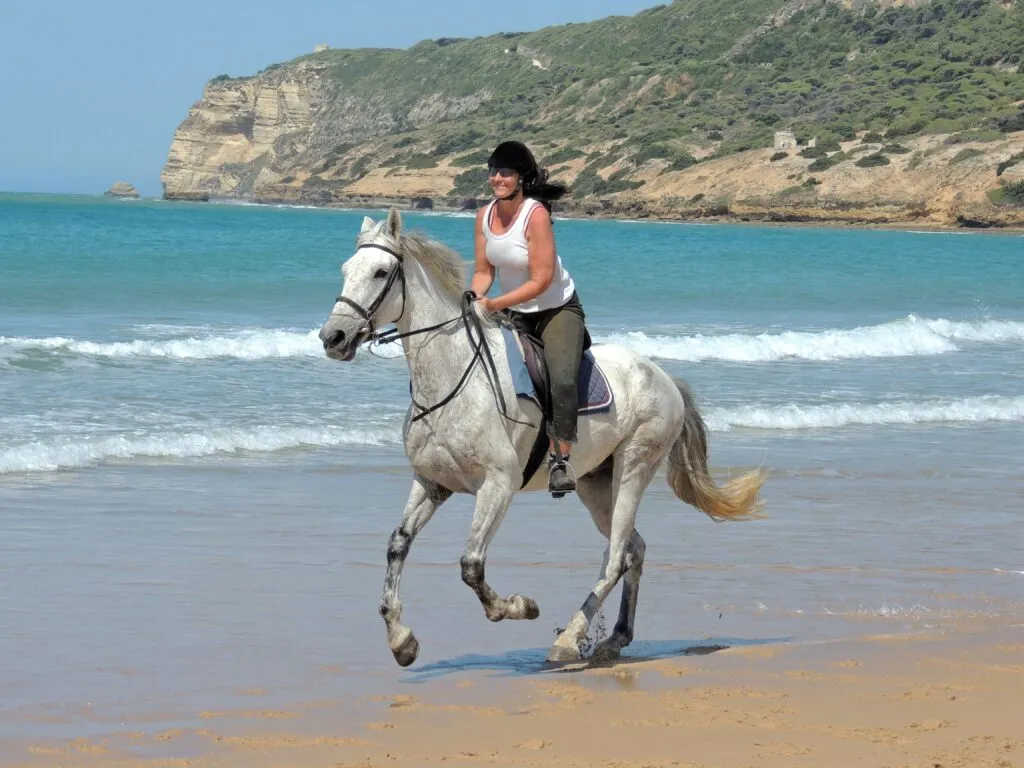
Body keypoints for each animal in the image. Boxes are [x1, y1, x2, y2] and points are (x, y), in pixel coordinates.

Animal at [317, 207, 765, 667]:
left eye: (380, 272)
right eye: (346, 270)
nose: (333, 338)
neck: (450, 378)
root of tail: (665, 378)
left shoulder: (497, 485)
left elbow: (471, 564)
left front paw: (519, 607)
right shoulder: (433, 482)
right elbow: (397, 546)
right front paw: (401, 640)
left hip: (634, 467)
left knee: (616, 556)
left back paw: (569, 638)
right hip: (595, 483)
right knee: (633, 549)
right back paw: (615, 637)